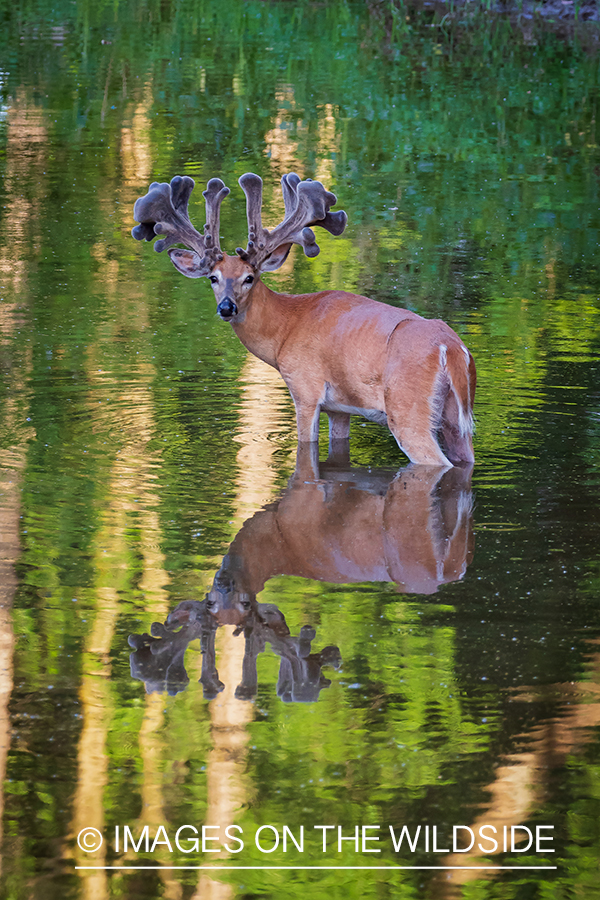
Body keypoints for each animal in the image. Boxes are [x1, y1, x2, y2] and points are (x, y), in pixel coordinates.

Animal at [134, 171, 476, 464]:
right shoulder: (341, 407)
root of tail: (451, 348)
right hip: (456, 418)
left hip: (407, 409)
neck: (286, 328)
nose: (227, 308)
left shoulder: (305, 386)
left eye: (249, 278)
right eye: (213, 278)